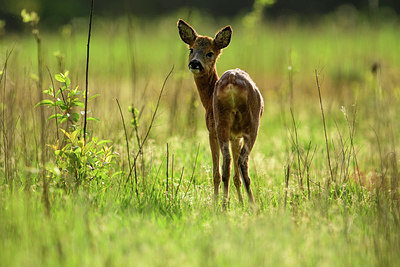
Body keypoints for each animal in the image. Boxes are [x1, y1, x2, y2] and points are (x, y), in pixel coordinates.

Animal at [177, 19, 264, 207]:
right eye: (191, 49)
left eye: (210, 53)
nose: (195, 63)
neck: (207, 100)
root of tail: (231, 82)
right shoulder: (235, 136)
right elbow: (236, 176)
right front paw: (240, 203)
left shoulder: (211, 130)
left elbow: (215, 172)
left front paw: (220, 202)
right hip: (242, 124)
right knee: (237, 162)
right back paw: (246, 205)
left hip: (228, 124)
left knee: (229, 164)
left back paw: (226, 206)